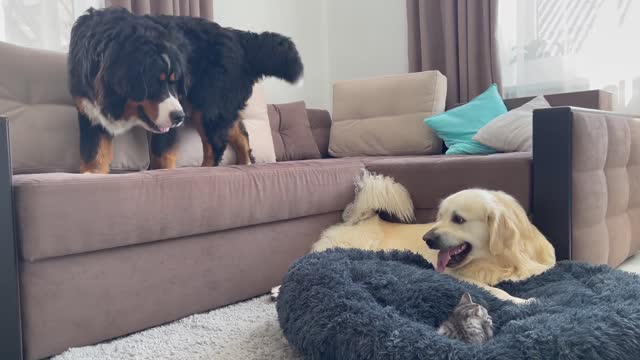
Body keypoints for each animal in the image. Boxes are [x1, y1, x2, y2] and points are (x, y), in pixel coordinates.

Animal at [67, 7, 302, 173]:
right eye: (154, 82)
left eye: (175, 82)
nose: (179, 117)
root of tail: (237, 37)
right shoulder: (90, 112)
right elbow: (93, 155)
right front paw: (92, 175)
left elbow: (162, 156)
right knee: (239, 133)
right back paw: (245, 163)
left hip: (208, 107)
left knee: (215, 145)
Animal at [272, 172, 556, 304]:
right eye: (439, 216)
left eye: (458, 219)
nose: (426, 238)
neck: (503, 260)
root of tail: (360, 218)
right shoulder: (454, 276)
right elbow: (496, 291)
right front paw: (523, 301)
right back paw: (276, 290)